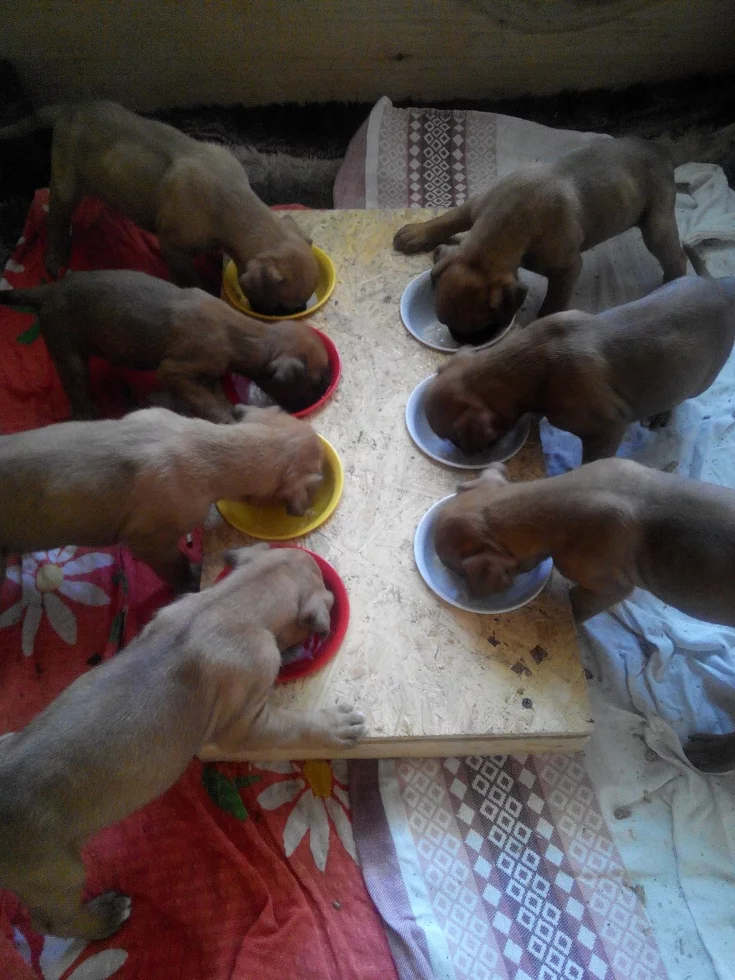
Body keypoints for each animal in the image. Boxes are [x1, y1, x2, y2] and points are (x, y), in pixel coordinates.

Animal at [0, 100, 318, 311]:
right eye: (284, 305)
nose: (302, 311)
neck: (230, 202)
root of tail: (73, 107)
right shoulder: (173, 248)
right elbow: (188, 278)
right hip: (66, 184)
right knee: (56, 218)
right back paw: (55, 255)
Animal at [0, 269, 330, 419]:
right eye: (315, 383)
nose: (323, 394)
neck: (237, 333)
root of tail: (51, 290)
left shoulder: (203, 378)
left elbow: (210, 395)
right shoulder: (175, 371)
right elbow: (210, 406)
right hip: (70, 357)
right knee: (78, 395)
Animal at [0, 543, 366, 939]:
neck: (230, 602)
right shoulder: (247, 725)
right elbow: (295, 725)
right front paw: (335, 725)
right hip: (57, 873)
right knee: (54, 921)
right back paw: (106, 917)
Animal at [393, 137, 687, 343]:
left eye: (481, 326)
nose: (460, 341)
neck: (509, 221)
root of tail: (660, 149)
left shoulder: (567, 269)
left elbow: (552, 305)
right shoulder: (474, 206)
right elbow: (447, 219)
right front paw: (416, 232)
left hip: (656, 227)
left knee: (677, 258)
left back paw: (671, 288)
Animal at [424, 275, 735, 462]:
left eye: (452, 437)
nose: (465, 454)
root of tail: (722, 287)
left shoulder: (607, 428)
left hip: (700, 380)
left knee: (679, 397)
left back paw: (660, 414)